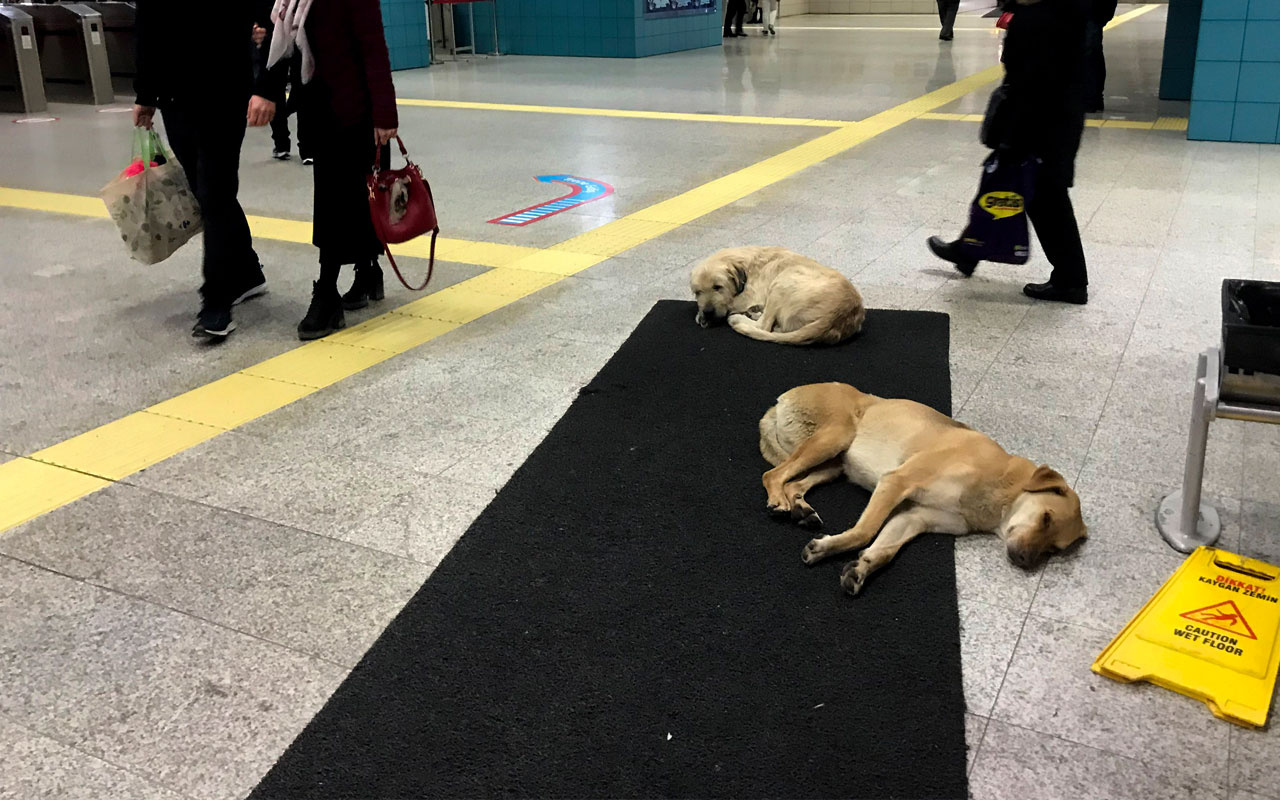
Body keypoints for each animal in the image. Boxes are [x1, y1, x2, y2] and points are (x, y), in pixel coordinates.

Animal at [686, 243, 865, 343]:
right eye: (697, 292)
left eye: (718, 287)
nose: (708, 312)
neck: (746, 264)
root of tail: (836, 316)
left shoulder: (748, 296)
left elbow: (732, 303)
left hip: (782, 281)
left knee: (764, 326)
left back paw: (740, 318)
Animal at [757, 381, 1090, 593]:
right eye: (1046, 517)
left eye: (1054, 549)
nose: (1024, 561)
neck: (1001, 487)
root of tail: (781, 399)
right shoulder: (896, 482)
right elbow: (865, 531)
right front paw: (829, 547)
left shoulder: (914, 517)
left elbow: (885, 549)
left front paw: (860, 567)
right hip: (834, 437)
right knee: (773, 475)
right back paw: (778, 502)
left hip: (835, 464)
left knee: (794, 482)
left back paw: (801, 508)